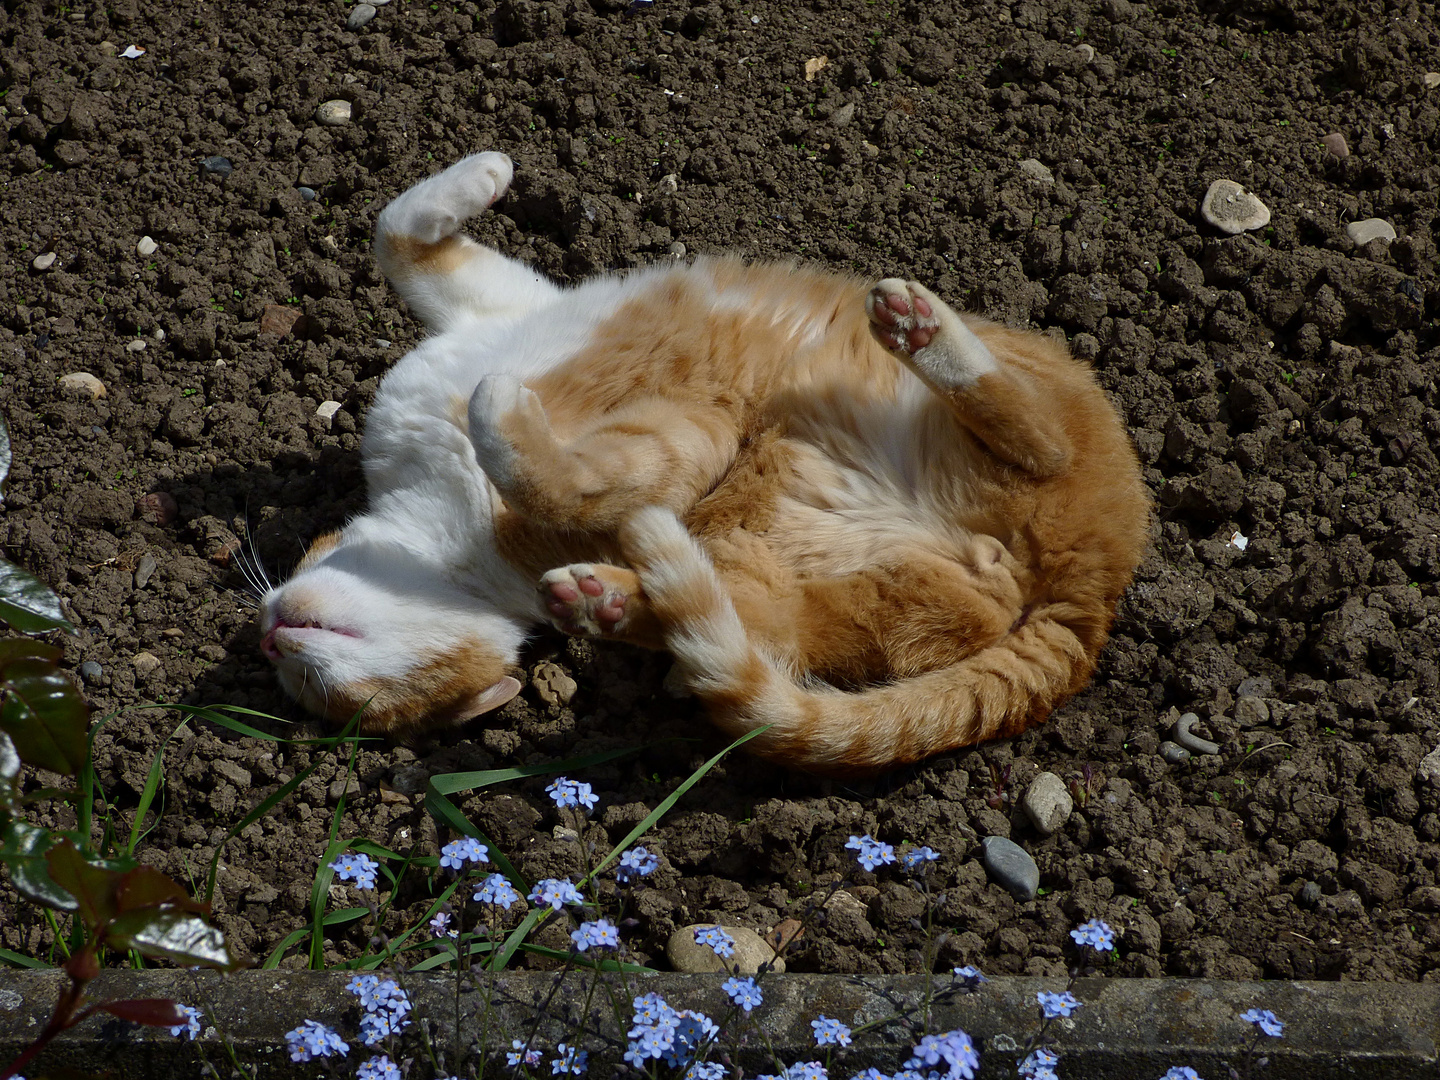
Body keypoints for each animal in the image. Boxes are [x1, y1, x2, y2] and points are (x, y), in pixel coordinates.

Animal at [259, 152, 1152, 777]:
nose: (269, 636)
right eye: (347, 706)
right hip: (814, 594)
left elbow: (397, 233)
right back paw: (603, 601)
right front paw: (507, 421)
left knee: (1038, 433)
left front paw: (486, 174)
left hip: (1043, 390)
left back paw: (920, 328)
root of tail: (1091, 599)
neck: (434, 535)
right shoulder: (679, 452)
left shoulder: (517, 312)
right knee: (739, 632)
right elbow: (550, 472)